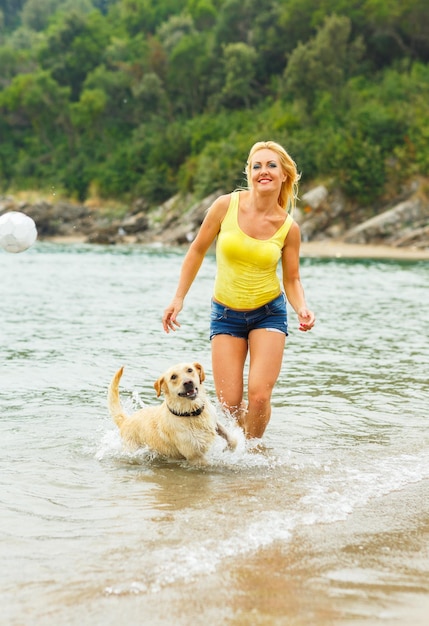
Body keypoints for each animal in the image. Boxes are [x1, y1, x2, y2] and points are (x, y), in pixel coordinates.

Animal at [106, 364, 234, 460]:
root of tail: (126, 420)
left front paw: (229, 449)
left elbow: (232, 439)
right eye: (173, 377)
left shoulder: (214, 421)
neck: (189, 413)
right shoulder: (195, 456)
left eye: (190, 370)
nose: (188, 382)